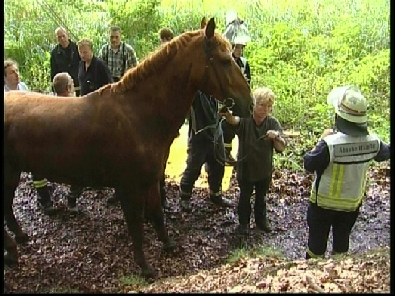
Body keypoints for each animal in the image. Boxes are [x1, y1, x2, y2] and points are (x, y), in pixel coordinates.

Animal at [3, 17, 254, 278]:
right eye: (224, 60)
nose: (249, 103)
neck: (138, 114)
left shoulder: (151, 181)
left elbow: (157, 214)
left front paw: (168, 245)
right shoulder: (129, 188)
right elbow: (136, 226)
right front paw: (145, 266)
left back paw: (19, 237)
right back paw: (11, 251)